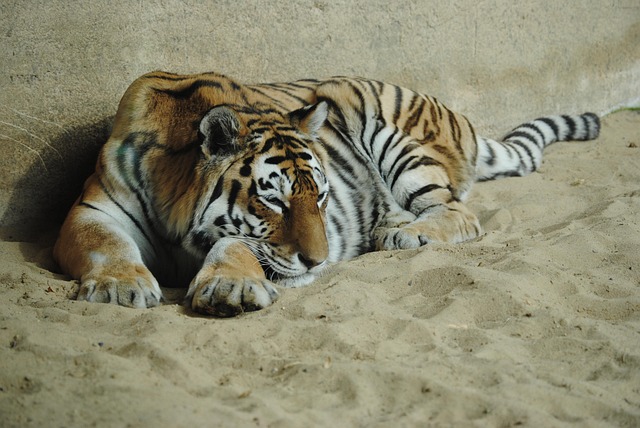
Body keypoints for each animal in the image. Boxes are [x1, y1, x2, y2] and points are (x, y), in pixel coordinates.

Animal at [53, 71, 600, 317]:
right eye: (273, 199)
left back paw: (404, 235)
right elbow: (106, 244)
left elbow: (235, 246)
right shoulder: (92, 209)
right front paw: (120, 286)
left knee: (459, 212)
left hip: (391, 135)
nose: (319, 261)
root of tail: (457, 116)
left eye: (320, 197)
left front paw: (230, 287)